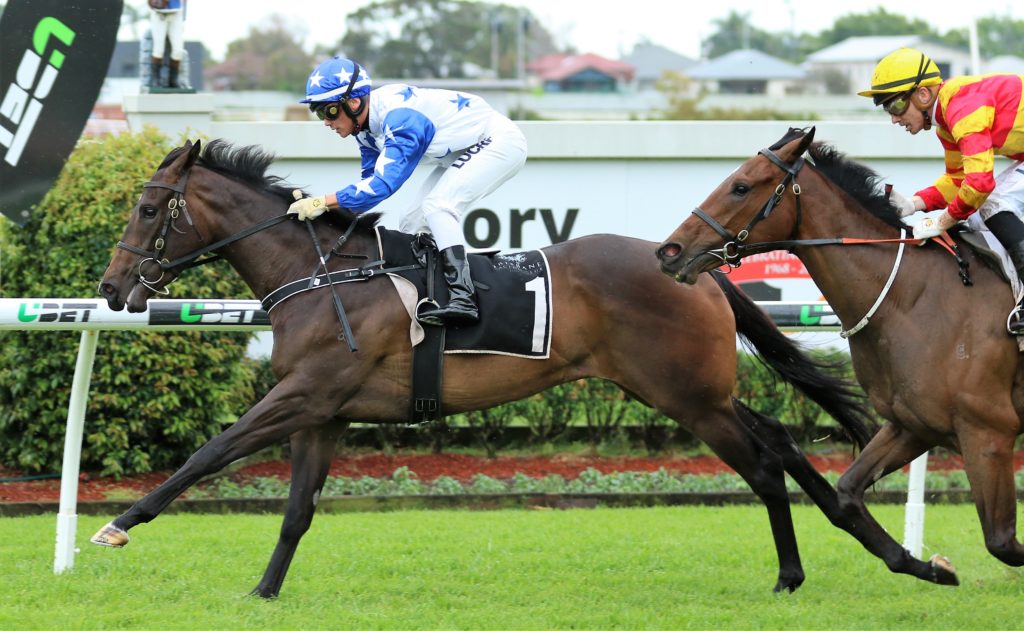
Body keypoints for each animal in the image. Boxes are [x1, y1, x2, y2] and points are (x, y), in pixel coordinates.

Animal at [93, 138, 876, 598]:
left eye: (147, 208)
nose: (110, 287)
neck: (324, 275)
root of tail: (695, 268)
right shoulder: (324, 411)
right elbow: (295, 512)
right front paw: (263, 592)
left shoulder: (301, 394)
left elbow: (210, 451)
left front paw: (120, 524)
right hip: (692, 389)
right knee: (779, 436)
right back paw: (853, 533)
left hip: (688, 397)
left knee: (764, 463)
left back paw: (794, 570)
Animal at [654, 125, 1024, 587]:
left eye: (740, 186)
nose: (669, 251)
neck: (912, 297)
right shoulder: (913, 425)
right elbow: (847, 494)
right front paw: (934, 568)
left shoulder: (988, 432)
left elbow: (1002, 541)